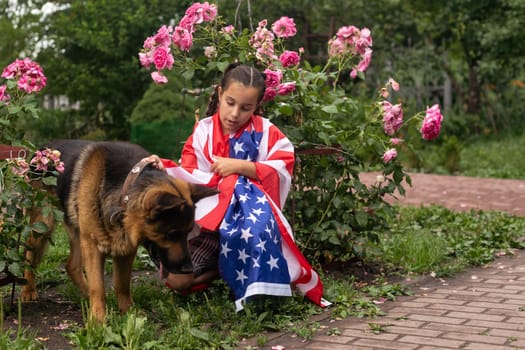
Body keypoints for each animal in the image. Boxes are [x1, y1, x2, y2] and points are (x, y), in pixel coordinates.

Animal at [21, 140, 216, 322]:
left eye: (188, 232)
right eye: (172, 234)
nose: (189, 270)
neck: (124, 193)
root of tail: (43, 150)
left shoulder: (126, 248)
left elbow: (122, 284)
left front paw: (129, 312)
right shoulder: (93, 245)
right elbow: (98, 287)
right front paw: (98, 320)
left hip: (77, 232)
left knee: (72, 265)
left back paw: (84, 294)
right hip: (42, 227)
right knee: (30, 256)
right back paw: (28, 290)